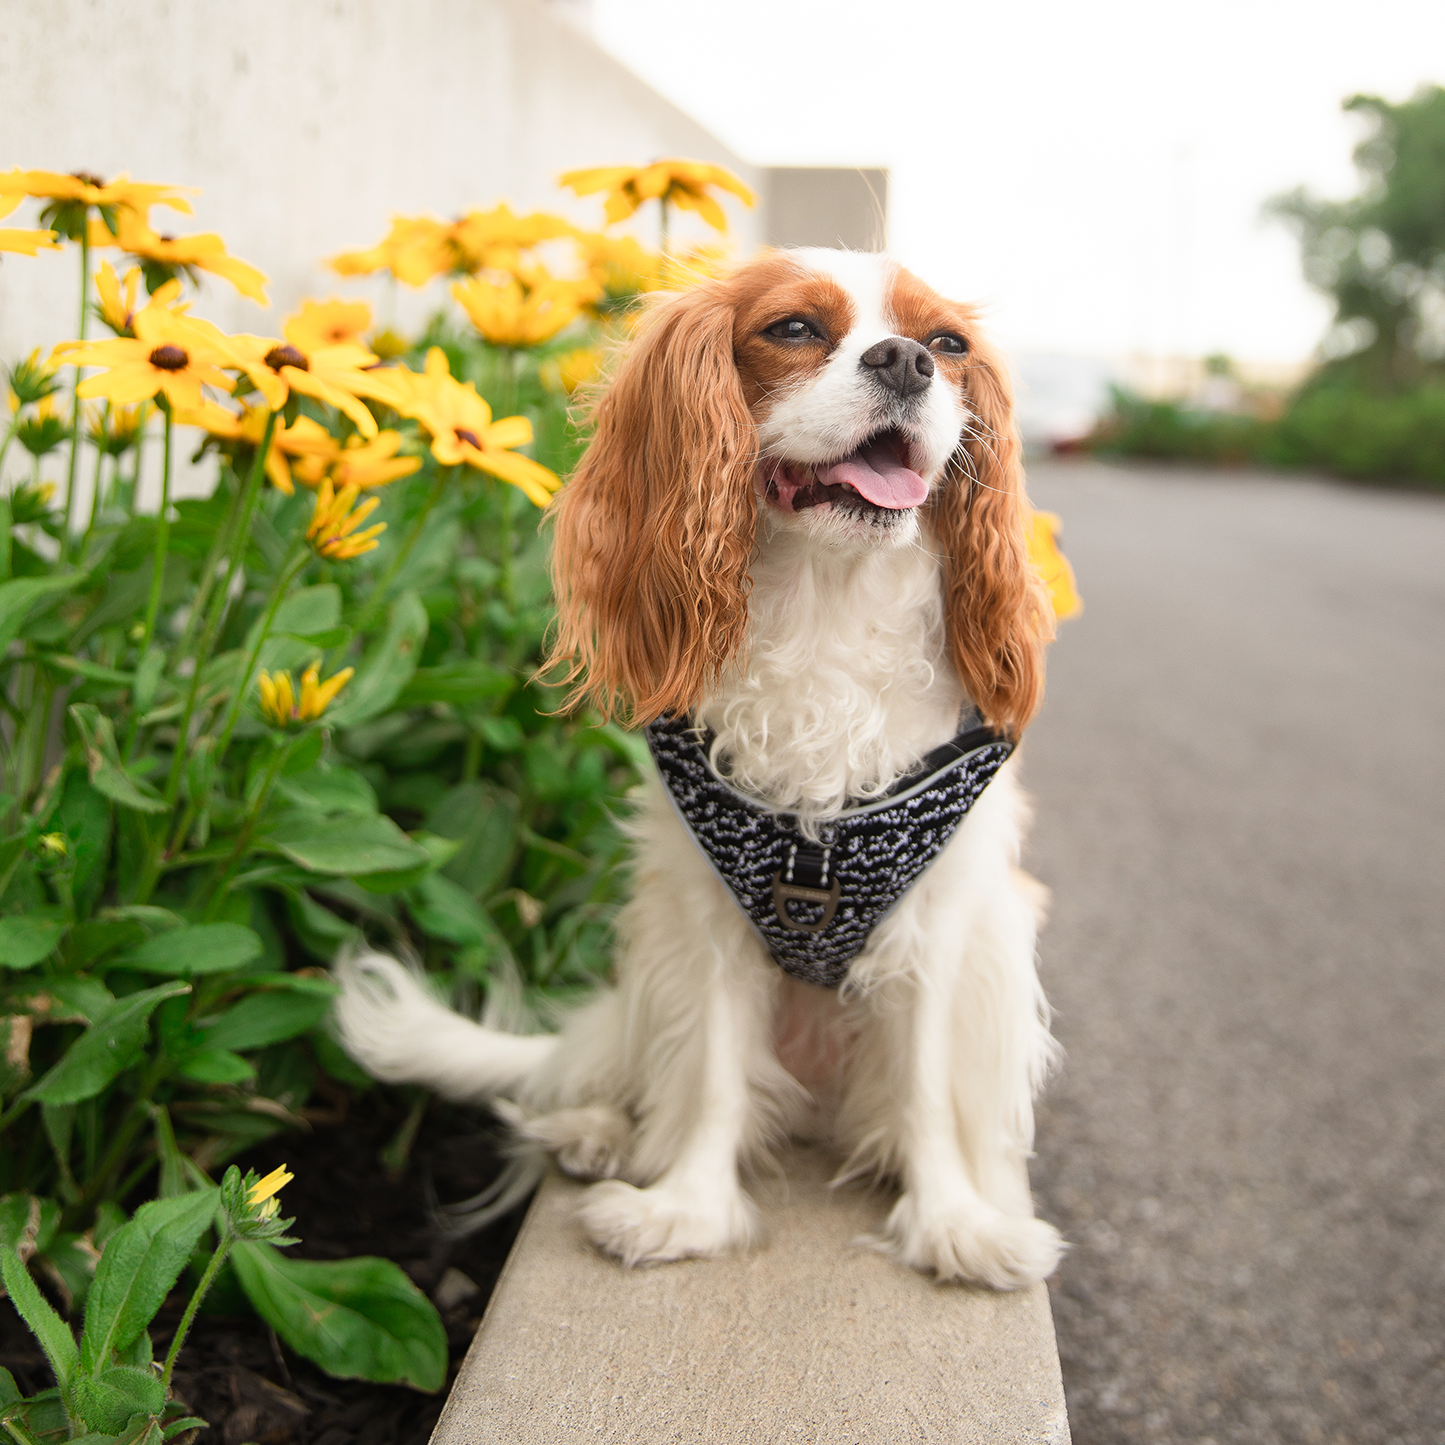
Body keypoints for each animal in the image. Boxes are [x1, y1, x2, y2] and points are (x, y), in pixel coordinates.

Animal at [335, 248, 1063, 1288]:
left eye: (947, 344)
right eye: (794, 329)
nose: (905, 361)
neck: (827, 601)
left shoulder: (938, 928)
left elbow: (924, 1090)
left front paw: (953, 1222)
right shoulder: (706, 911)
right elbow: (713, 1074)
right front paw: (684, 1210)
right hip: (645, 968)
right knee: (638, 1072)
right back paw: (596, 1130)